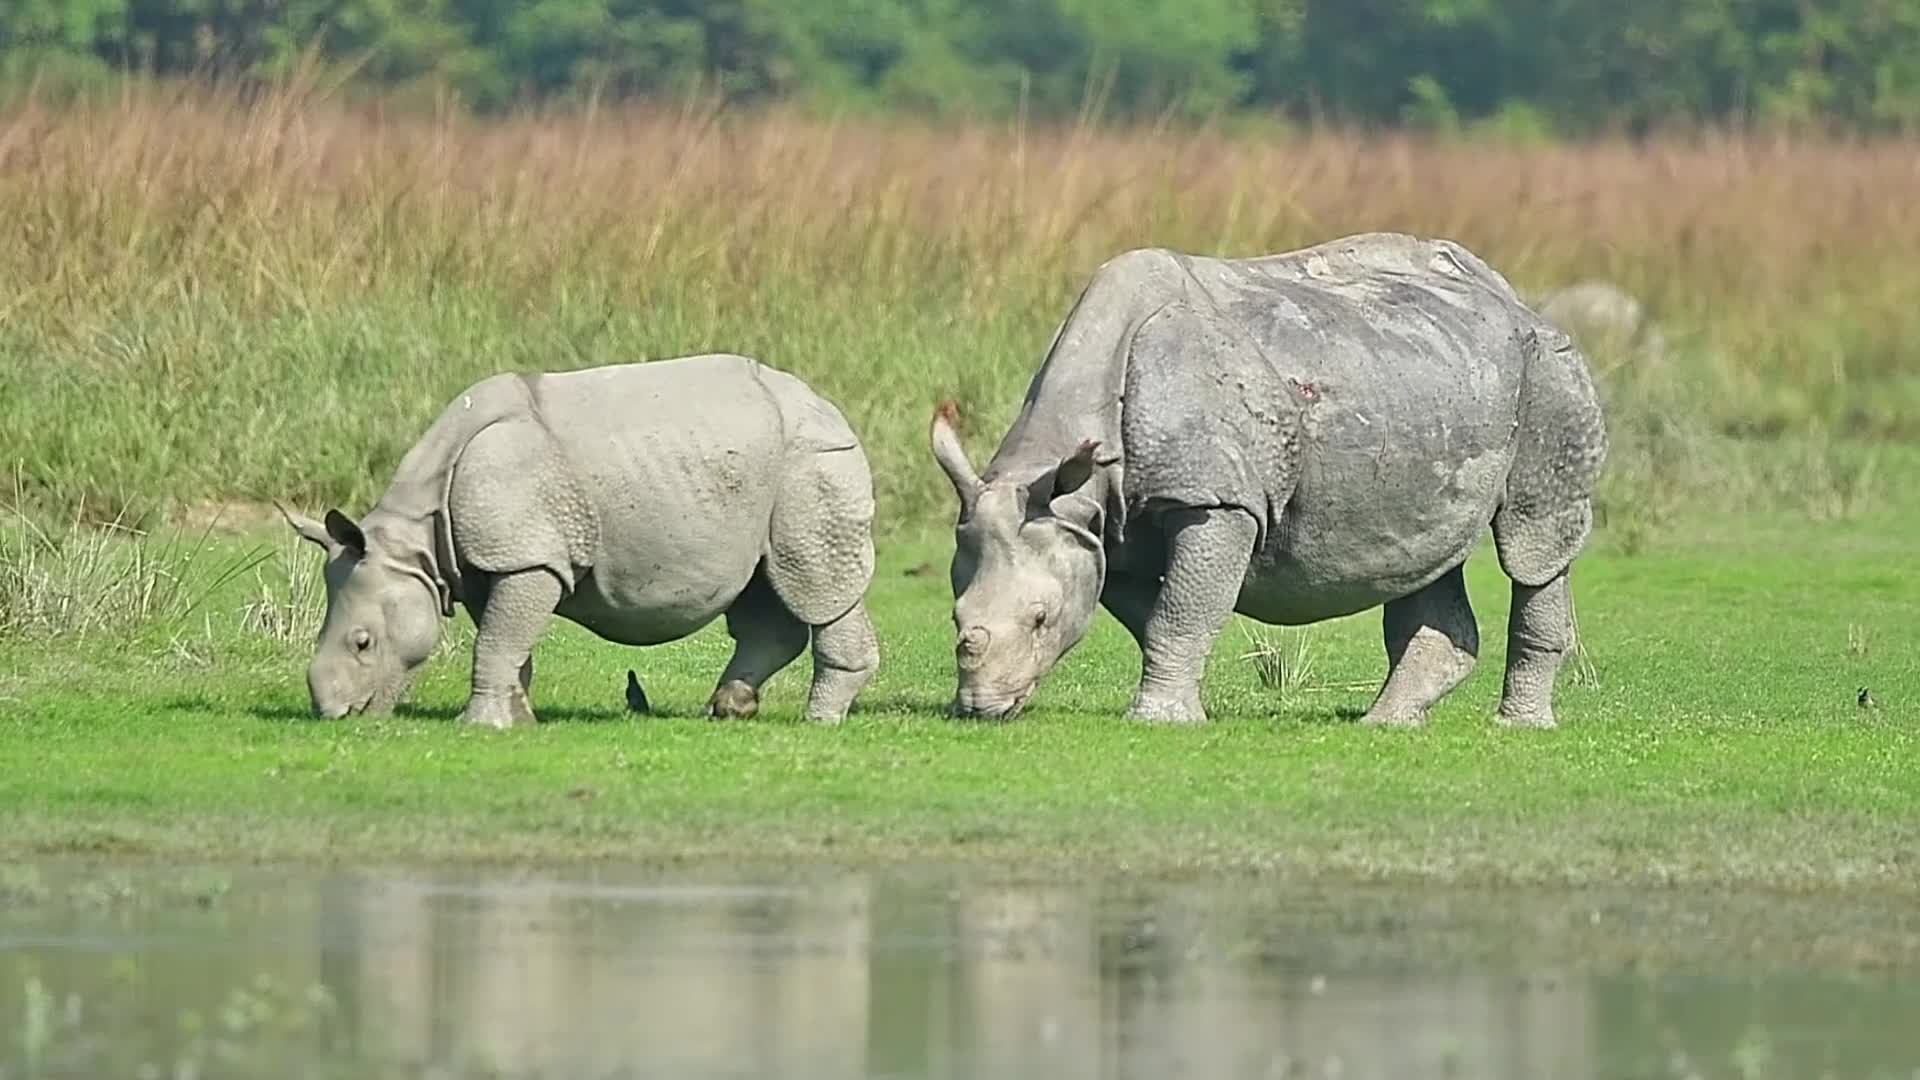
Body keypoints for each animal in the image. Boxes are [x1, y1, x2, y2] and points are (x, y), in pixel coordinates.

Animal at [280, 354, 880, 728]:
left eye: (363, 643)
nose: (333, 714)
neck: (415, 541)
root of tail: (828, 405)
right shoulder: (495, 561)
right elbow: (508, 643)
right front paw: (520, 719)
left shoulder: (527, 556)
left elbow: (495, 641)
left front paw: (481, 725)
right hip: (766, 473)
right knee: (761, 590)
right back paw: (729, 709)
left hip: (812, 461)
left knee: (815, 587)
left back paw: (818, 721)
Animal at [931, 232, 1606, 727]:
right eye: (955, 616)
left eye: (1041, 619)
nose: (982, 708)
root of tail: (1512, 294)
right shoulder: (1103, 528)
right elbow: (1160, 612)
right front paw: (1183, 704)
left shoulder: (1216, 500)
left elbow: (1180, 610)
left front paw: (1159, 721)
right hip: (1431, 378)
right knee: (1425, 554)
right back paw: (1389, 724)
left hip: (1549, 368)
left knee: (1532, 546)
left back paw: (1517, 726)